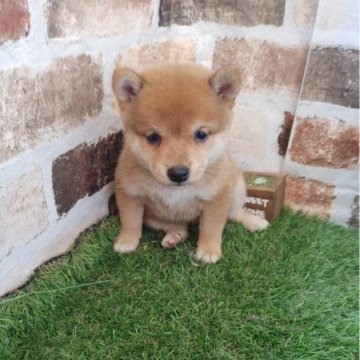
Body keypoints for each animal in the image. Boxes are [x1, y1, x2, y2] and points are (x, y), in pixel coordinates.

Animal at [112, 63, 268, 262]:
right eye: (153, 137)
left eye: (201, 134)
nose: (178, 173)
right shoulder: (129, 193)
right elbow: (130, 221)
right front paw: (126, 241)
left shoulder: (216, 198)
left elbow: (211, 228)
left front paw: (208, 250)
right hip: (155, 216)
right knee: (178, 227)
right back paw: (174, 235)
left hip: (237, 191)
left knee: (235, 214)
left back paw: (254, 221)